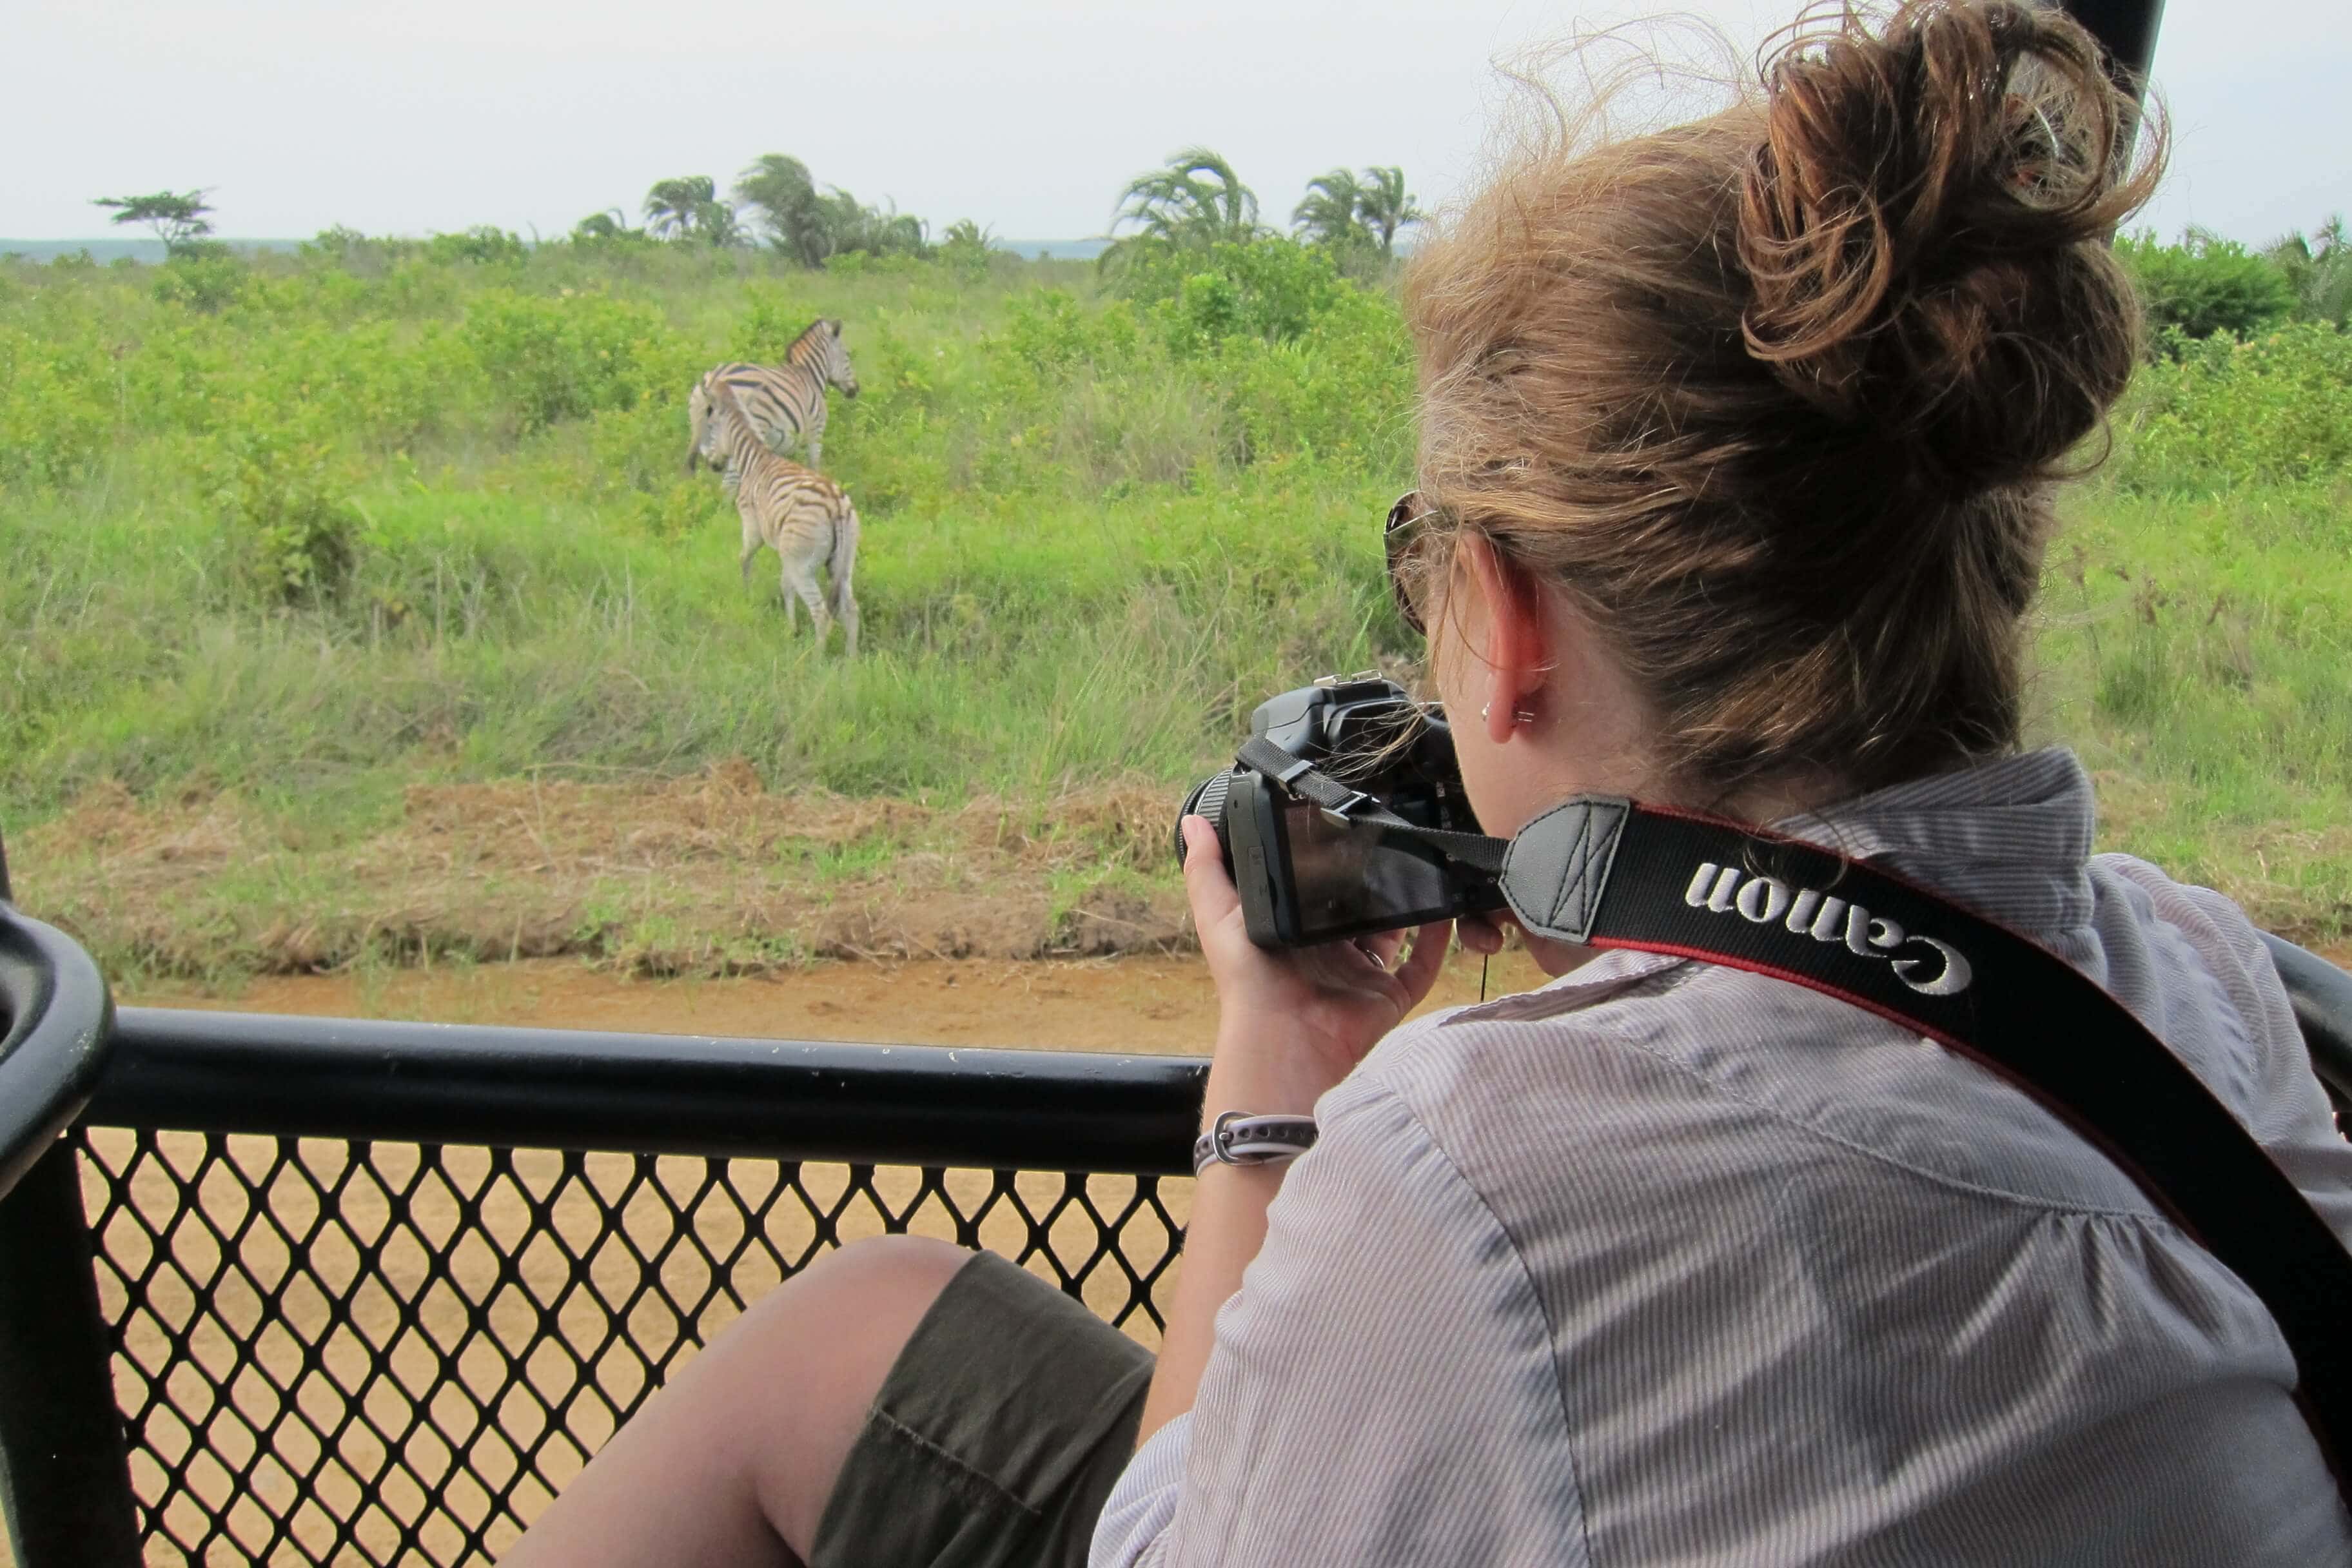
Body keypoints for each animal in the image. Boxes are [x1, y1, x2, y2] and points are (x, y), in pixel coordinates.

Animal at [687, 319, 861, 484]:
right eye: (847, 355)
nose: (856, 389)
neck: (808, 374)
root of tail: (715, 378)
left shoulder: (779, 444)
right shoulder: (815, 433)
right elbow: (813, 466)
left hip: (703, 434)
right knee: (730, 480)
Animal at [687, 380, 865, 658]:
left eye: (710, 425)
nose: (713, 465)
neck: (754, 459)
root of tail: (836, 505)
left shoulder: (753, 525)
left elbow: (744, 558)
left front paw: (746, 594)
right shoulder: (786, 550)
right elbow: (785, 585)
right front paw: (791, 629)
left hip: (805, 565)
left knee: (821, 613)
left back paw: (816, 660)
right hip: (842, 564)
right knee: (851, 610)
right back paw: (851, 661)